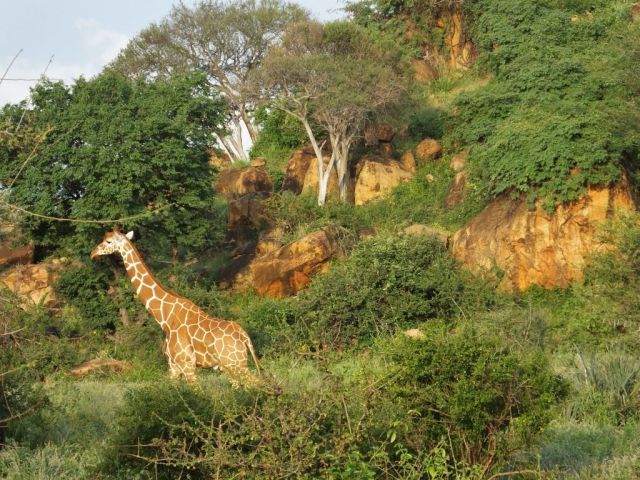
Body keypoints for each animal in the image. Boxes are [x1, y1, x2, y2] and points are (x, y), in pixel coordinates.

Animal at [90, 228, 260, 388]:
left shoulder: (186, 364)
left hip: (236, 364)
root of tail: (244, 337)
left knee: (259, 385)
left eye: (108, 241)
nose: (93, 253)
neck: (165, 317)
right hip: (229, 366)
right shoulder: (173, 366)